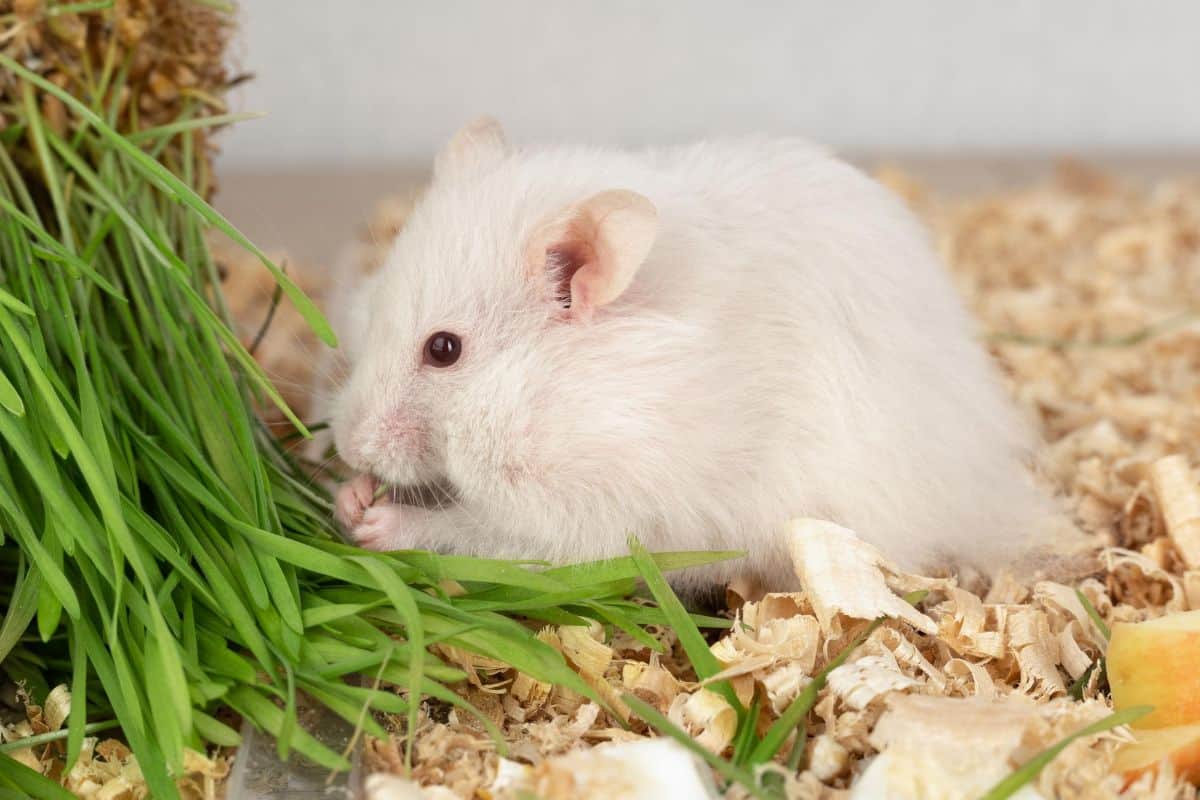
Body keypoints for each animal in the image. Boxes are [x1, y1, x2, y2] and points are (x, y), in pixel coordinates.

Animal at [329, 117, 1052, 594]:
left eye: (444, 350)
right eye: (377, 305)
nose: (346, 444)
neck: (562, 386)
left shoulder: (589, 513)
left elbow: (473, 529)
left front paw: (373, 520)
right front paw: (349, 496)